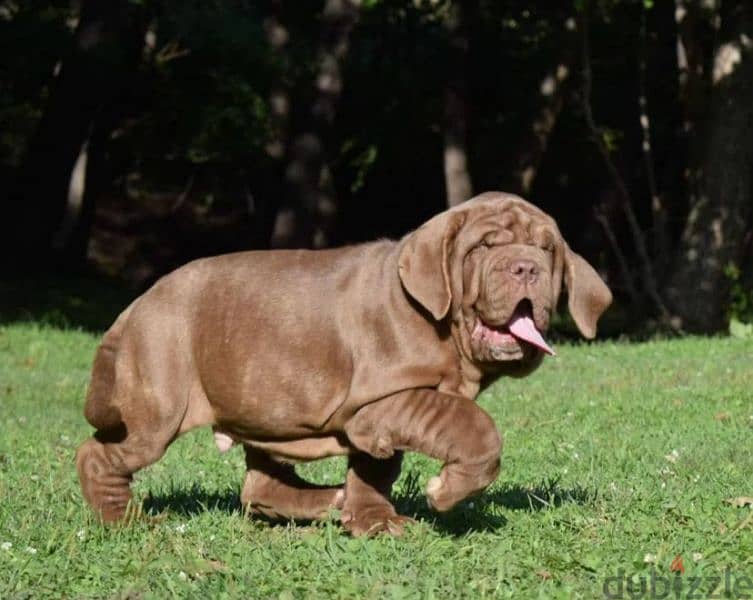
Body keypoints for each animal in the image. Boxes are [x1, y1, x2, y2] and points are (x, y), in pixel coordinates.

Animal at [76, 191, 612, 536]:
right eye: (484, 247)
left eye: (547, 249)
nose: (527, 267)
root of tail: (136, 305)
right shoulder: (380, 403)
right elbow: (475, 427)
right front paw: (445, 491)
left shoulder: (380, 422)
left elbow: (375, 469)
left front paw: (373, 520)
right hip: (157, 406)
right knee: (99, 453)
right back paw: (122, 521)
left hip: (268, 408)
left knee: (261, 485)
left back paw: (325, 500)